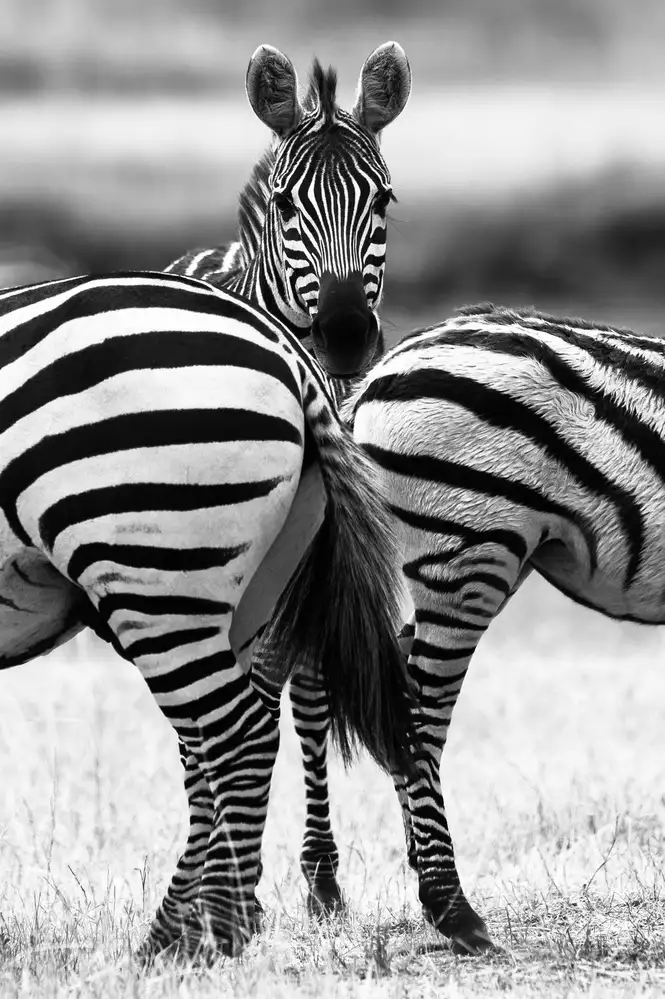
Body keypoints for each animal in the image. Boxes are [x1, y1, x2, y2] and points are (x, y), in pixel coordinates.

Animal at [0, 270, 419, 960]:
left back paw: (212, 932)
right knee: (212, 746)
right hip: (234, 595)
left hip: (147, 566)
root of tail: (289, 356)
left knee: (238, 736)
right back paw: (181, 931)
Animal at [166, 40, 411, 915]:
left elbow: (305, 694)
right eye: (285, 203)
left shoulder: (322, 556)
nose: (342, 334)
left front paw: (320, 873)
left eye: (383, 199)